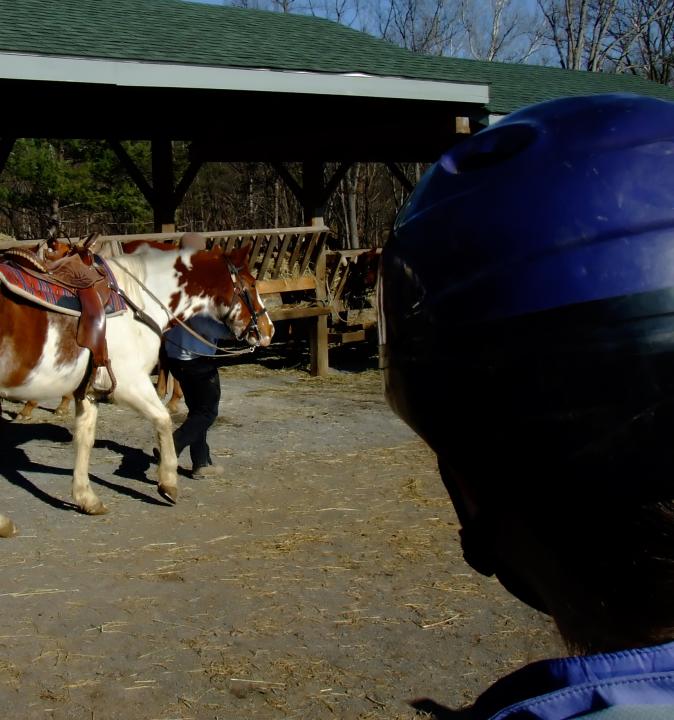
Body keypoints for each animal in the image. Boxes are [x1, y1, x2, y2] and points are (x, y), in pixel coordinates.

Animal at [0, 245, 272, 524]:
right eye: (251, 285)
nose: (268, 330)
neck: (136, 303)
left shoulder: (89, 392)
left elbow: (85, 439)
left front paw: (87, 499)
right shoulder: (129, 383)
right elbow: (163, 420)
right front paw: (168, 482)